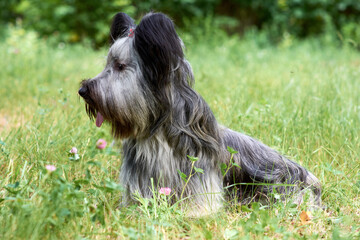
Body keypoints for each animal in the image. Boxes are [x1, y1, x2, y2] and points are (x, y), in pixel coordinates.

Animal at [79, 11, 320, 216]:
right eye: (107, 64)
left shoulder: (198, 170)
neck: (157, 128)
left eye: (120, 66)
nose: (83, 90)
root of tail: (309, 178)